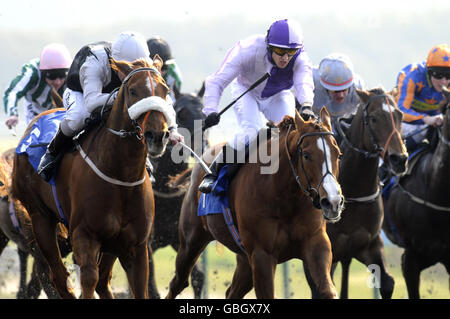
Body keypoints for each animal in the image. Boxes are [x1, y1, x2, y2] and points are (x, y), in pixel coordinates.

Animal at [11, 57, 172, 300]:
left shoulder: (136, 246)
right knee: (59, 277)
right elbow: (88, 279)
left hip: (112, 245)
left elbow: (137, 288)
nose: (157, 136)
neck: (121, 175)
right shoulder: (85, 236)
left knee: (103, 282)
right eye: (133, 91)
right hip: (40, 218)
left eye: (165, 90)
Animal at [167, 108, 342, 300]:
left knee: (232, 292)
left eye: (338, 154)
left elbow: (327, 290)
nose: (333, 201)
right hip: (190, 242)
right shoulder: (261, 254)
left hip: (244, 259)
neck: (285, 200)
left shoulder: (316, 242)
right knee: (178, 283)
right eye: (307, 155)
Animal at [304, 87, 410, 300]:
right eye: (374, 118)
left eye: (399, 115)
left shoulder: (370, 244)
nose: (399, 159)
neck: (354, 187)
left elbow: (388, 283)